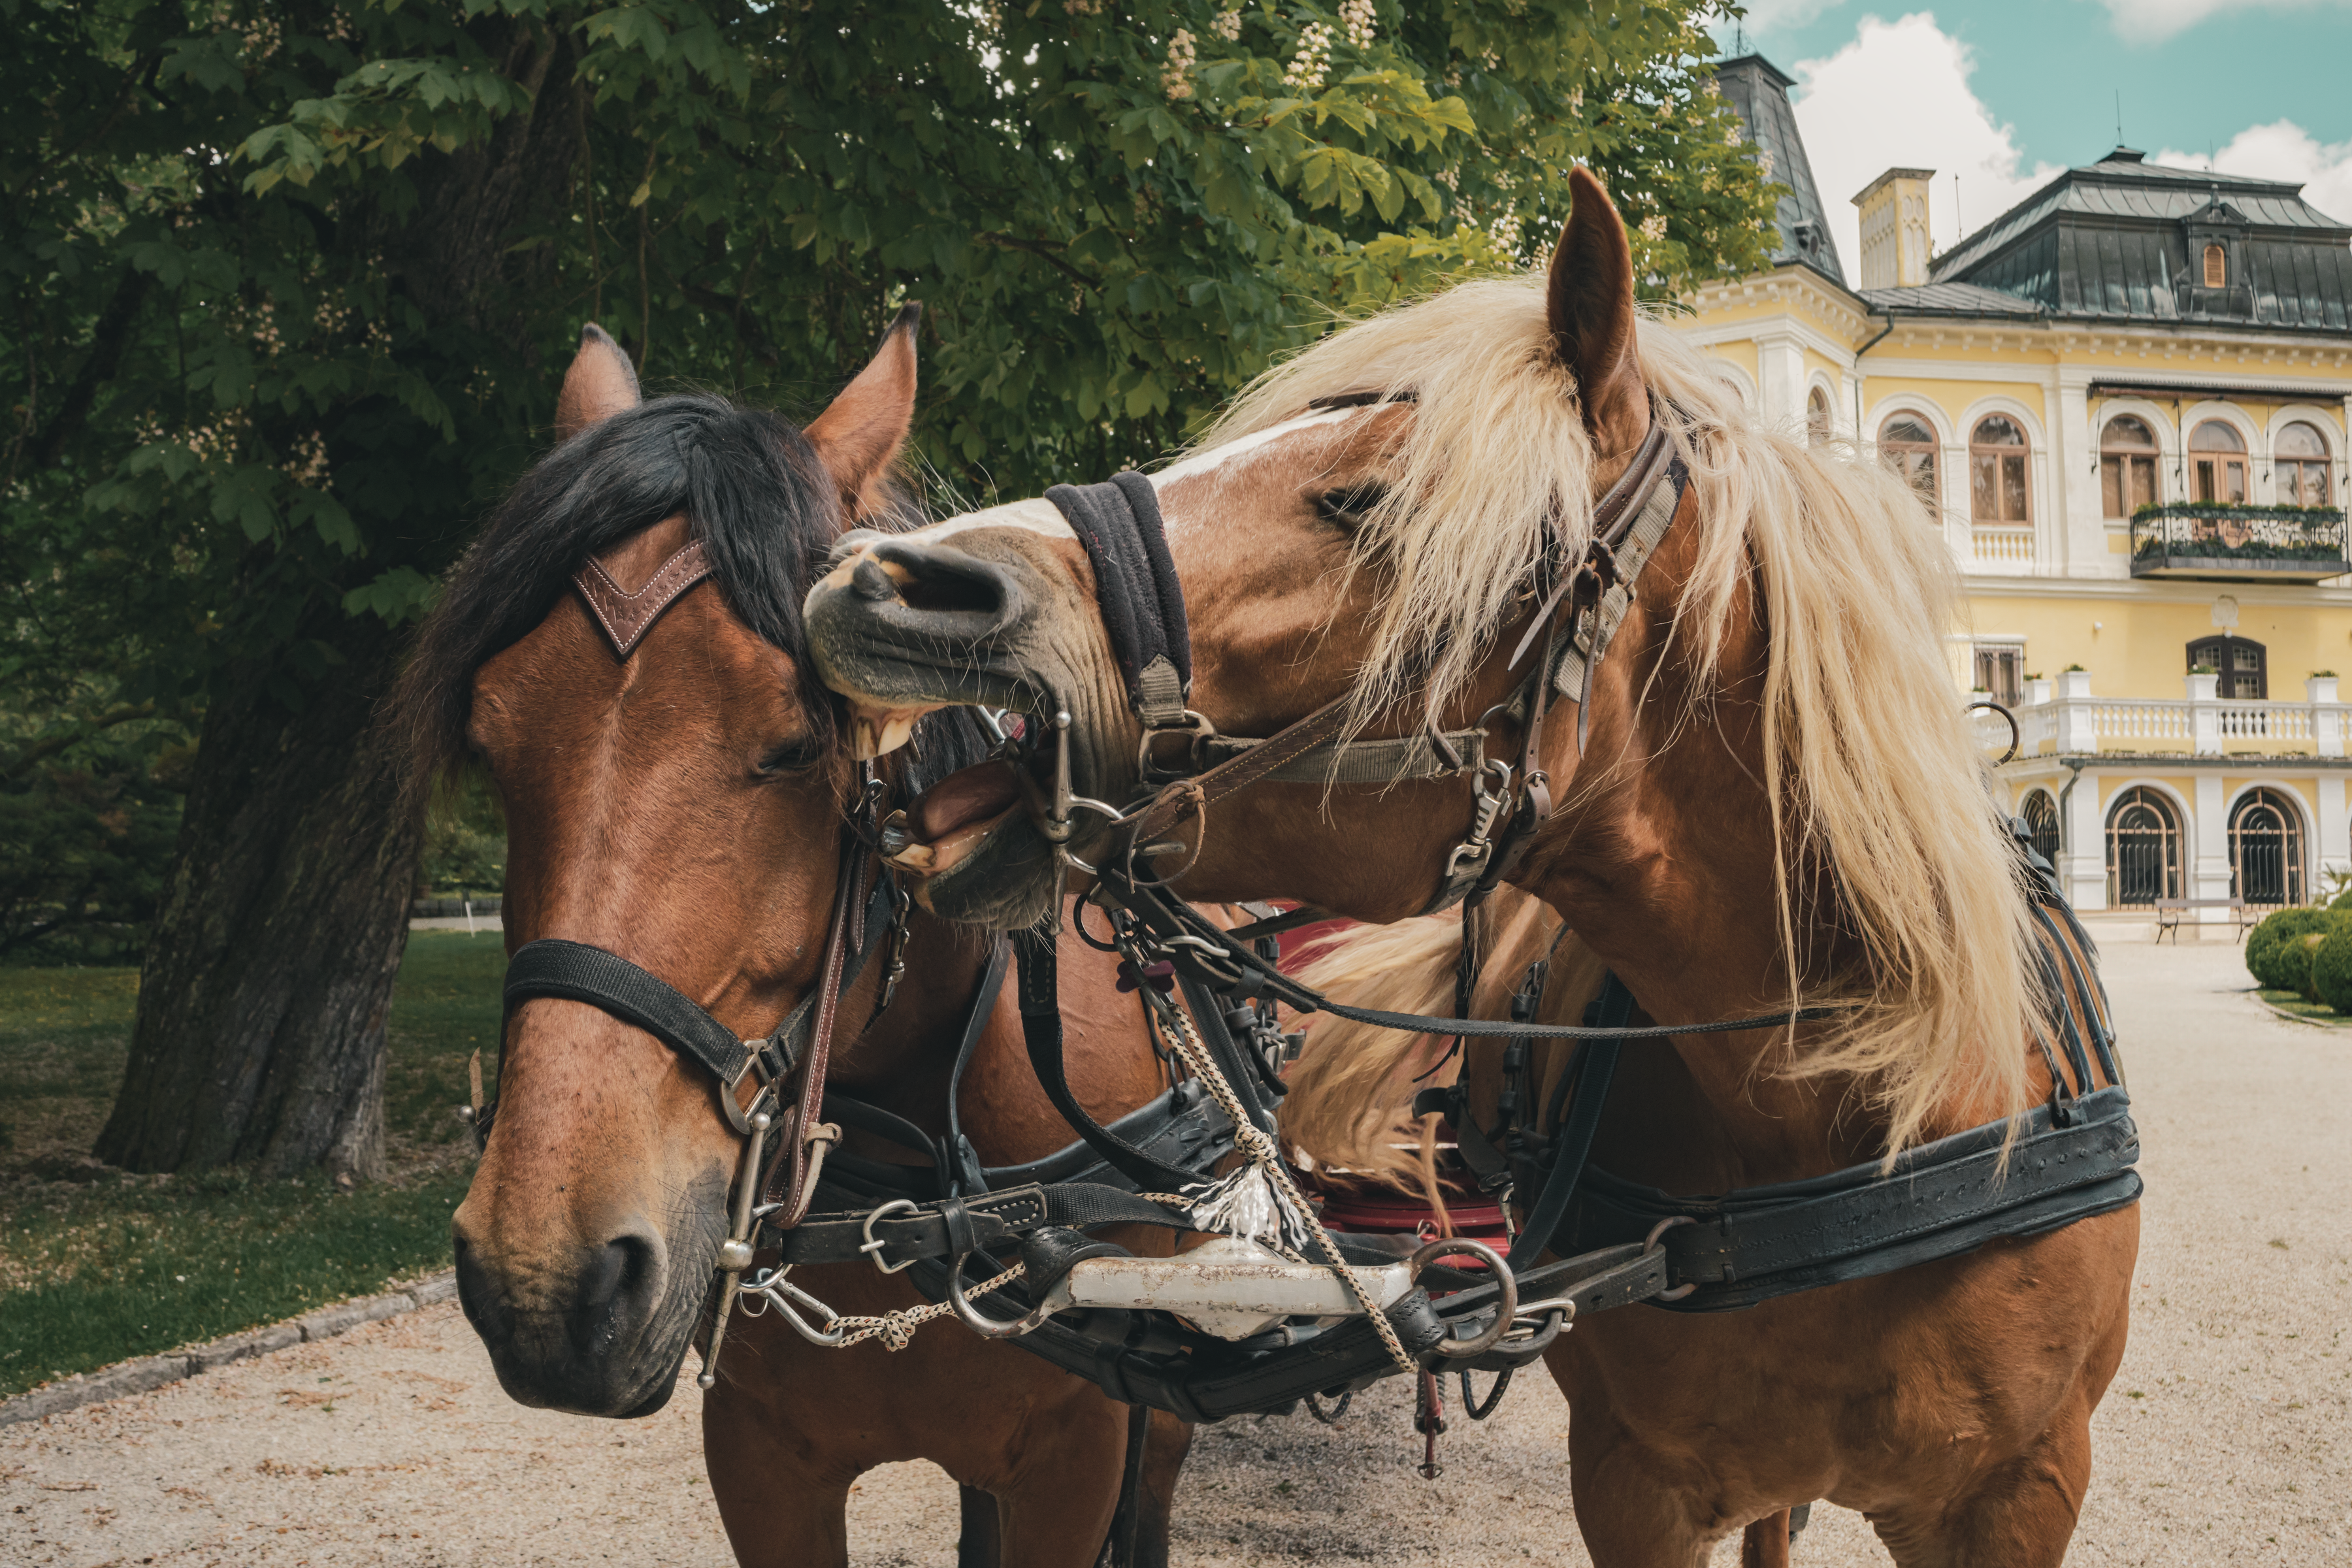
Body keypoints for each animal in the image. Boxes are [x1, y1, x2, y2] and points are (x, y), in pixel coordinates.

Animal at [390, 319, 1194, 1568]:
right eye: (492, 739)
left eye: (793, 742)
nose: (545, 1284)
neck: (922, 1190)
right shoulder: (764, 1467)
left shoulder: (1076, 1464)